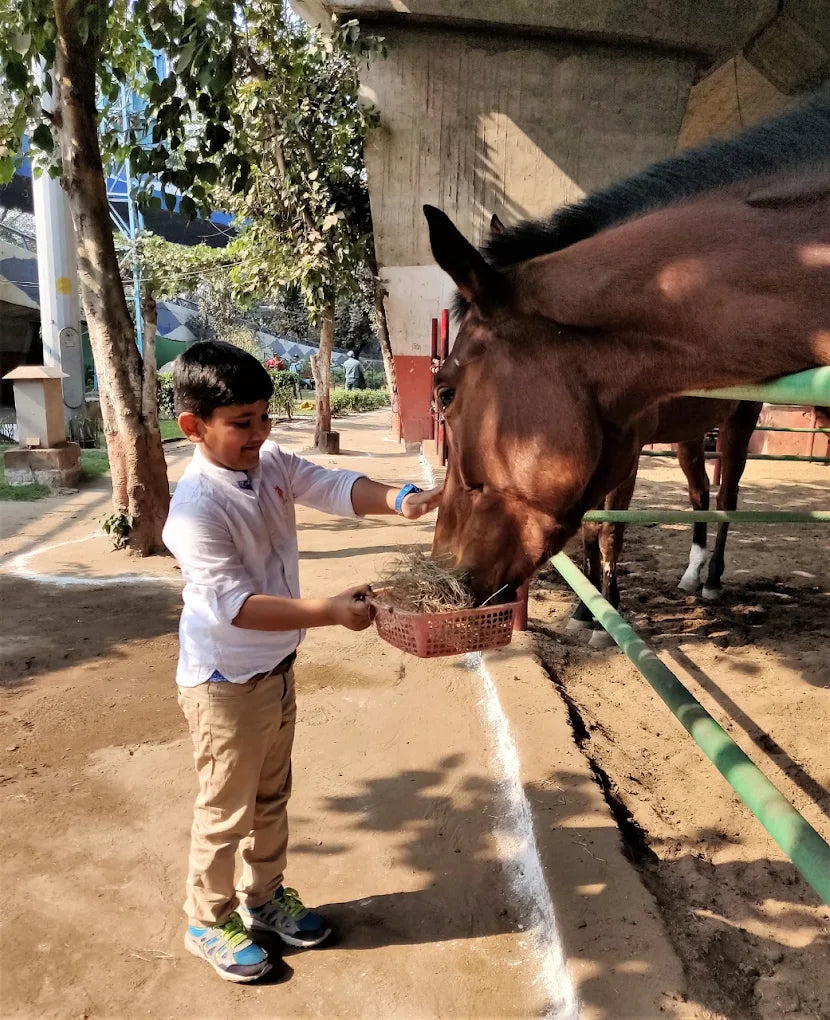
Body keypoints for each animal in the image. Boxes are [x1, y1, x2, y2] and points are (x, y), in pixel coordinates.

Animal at [425, 90, 830, 601]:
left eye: (446, 392)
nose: (446, 564)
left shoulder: (631, 448)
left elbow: (610, 529)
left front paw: (604, 602)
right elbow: (592, 529)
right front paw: (590, 601)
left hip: (740, 421)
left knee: (726, 495)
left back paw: (713, 579)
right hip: (689, 435)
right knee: (699, 492)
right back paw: (692, 572)